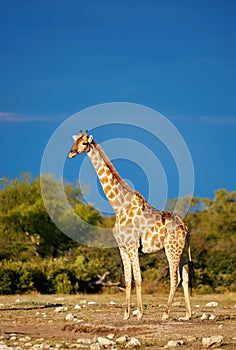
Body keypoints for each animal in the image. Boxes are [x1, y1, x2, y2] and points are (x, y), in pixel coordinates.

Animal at [68, 131, 192, 320]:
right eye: (74, 142)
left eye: (83, 143)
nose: (71, 153)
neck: (119, 206)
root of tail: (186, 229)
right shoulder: (122, 247)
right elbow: (127, 279)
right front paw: (126, 314)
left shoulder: (133, 245)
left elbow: (138, 278)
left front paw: (139, 313)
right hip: (181, 250)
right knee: (185, 277)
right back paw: (187, 315)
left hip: (172, 249)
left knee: (175, 278)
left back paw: (165, 314)